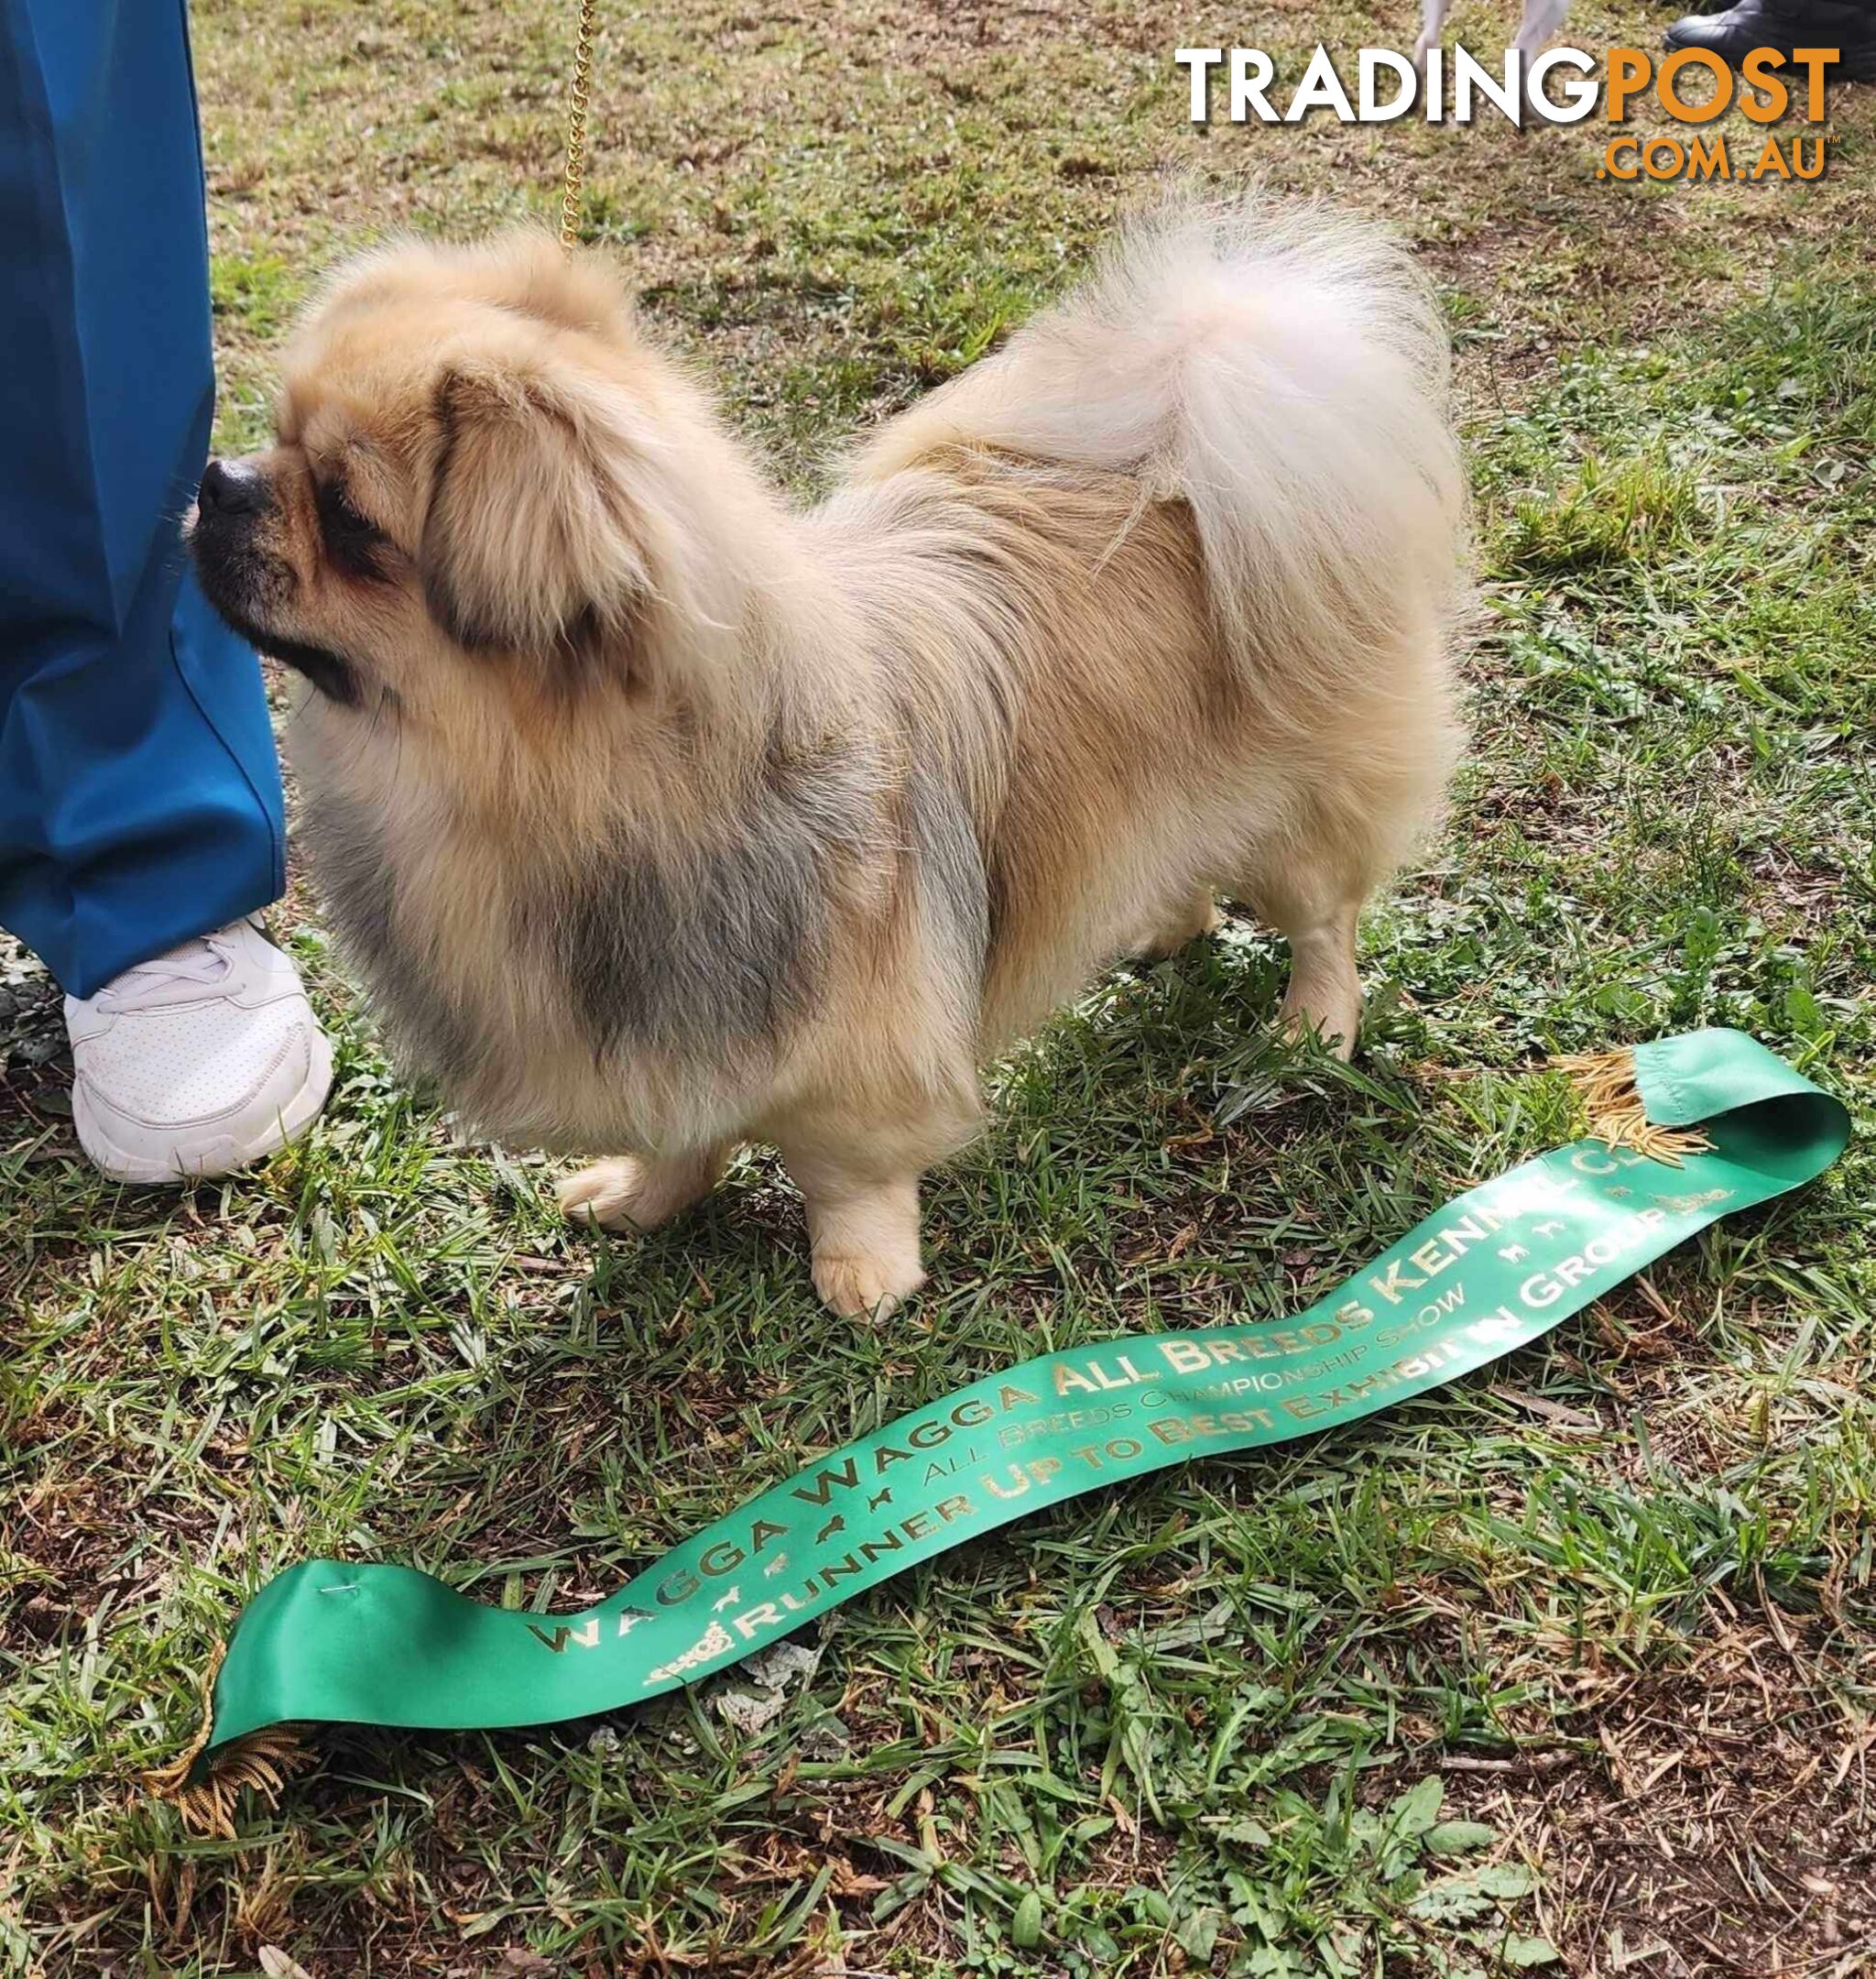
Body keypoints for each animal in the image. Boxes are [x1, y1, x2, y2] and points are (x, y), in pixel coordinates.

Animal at [198, 201, 1472, 1314]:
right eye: (273, 438)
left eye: (350, 520)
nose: (215, 481)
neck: (565, 790)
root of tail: (1185, 469)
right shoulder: (681, 1033)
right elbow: (683, 1137)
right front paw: (642, 1198)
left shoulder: (860, 1056)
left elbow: (845, 1172)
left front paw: (859, 1270)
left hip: (1297, 823)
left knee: (1323, 921)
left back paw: (1310, 1024)